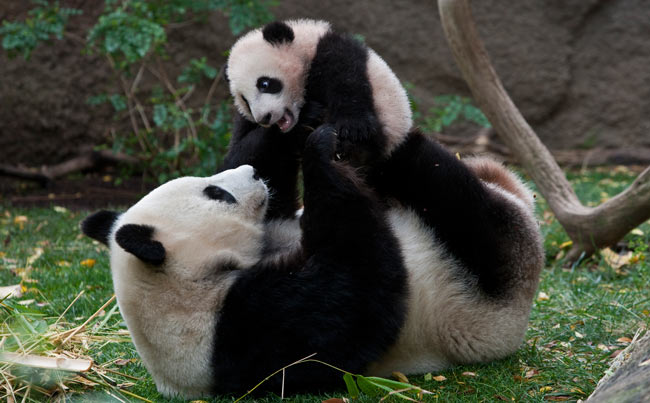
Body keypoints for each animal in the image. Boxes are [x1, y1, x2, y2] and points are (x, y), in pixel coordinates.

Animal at [225, 18, 410, 167]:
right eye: (245, 101)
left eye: (264, 84)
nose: (264, 118)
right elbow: (237, 159)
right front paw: (309, 115)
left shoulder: (333, 52)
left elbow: (347, 80)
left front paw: (353, 127)